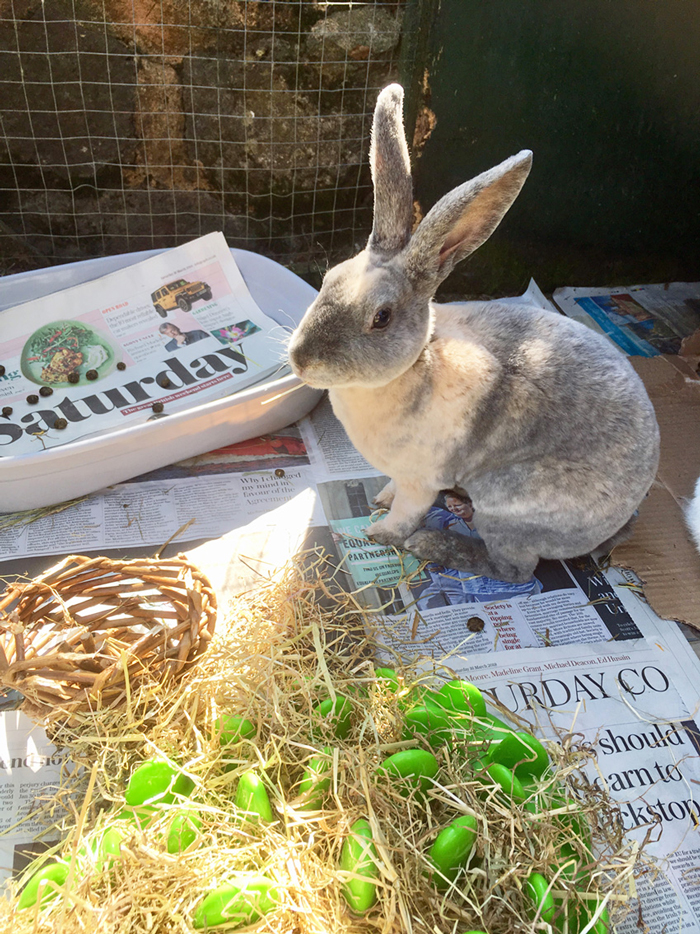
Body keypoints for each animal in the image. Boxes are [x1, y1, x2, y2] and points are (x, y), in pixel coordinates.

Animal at [288, 88, 660, 584]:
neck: (417, 362)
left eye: (381, 317)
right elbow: (392, 491)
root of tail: (621, 519)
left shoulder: (420, 479)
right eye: (328, 279)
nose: (300, 360)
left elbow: (405, 512)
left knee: (516, 570)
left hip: (508, 508)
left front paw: (380, 532)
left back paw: (433, 545)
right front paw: (379, 499)